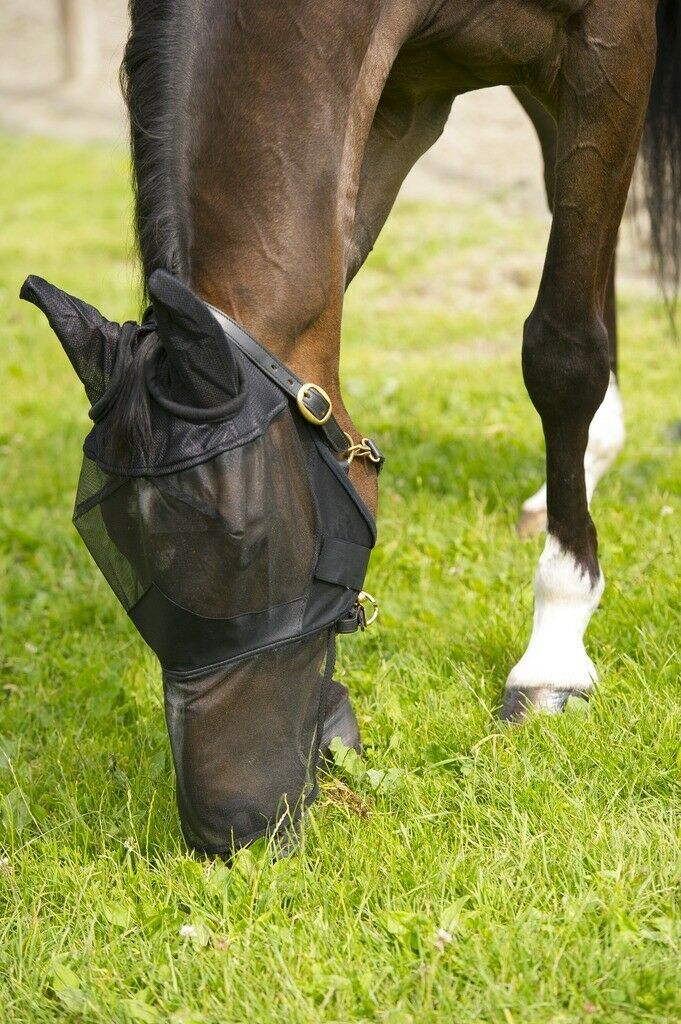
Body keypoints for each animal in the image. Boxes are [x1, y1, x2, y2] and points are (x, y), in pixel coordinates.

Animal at [22, 0, 680, 852]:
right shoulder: (401, 96)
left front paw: (553, 651)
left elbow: (562, 352)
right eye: (110, 551)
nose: (231, 832)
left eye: (252, 546)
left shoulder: (608, 41)